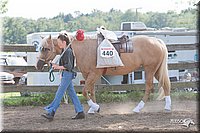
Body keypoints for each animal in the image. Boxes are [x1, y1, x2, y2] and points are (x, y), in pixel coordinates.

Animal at [35, 33, 171, 113]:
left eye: (46, 48)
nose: (38, 65)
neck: (85, 49)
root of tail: (157, 41)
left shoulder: (94, 74)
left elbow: (85, 91)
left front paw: (94, 107)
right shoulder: (88, 75)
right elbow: (91, 91)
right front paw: (93, 108)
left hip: (150, 69)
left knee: (149, 87)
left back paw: (138, 108)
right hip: (157, 70)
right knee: (165, 85)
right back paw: (167, 107)